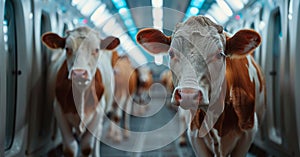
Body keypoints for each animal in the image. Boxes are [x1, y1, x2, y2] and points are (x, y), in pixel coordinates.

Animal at [41, 26, 120, 156]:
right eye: (67, 48)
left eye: (96, 50)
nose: (79, 73)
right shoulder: (59, 110)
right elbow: (70, 147)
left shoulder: (97, 114)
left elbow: (87, 147)